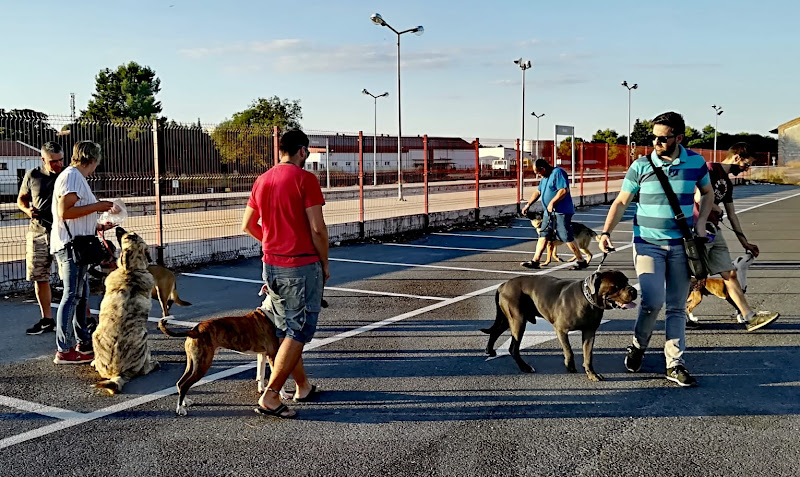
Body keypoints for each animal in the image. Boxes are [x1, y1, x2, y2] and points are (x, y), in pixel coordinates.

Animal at [482, 272, 636, 380]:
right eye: (616, 286)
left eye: (627, 281)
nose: (633, 290)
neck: (587, 300)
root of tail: (503, 285)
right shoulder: (561, 330)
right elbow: (569, 350)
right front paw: (570, 366)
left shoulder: (589, 332)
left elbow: (588, 355)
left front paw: (591, 374)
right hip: (518, 321)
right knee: (513, 347)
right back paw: (525, 367)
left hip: (509, 319)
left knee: (495, 331)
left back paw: (489, 350)